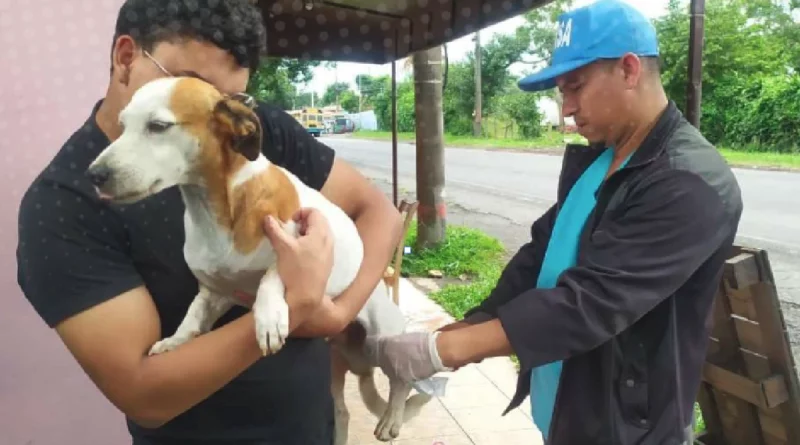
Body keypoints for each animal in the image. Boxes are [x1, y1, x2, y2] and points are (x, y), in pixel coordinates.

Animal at [86, 77, 432, 444]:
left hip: (384, 340)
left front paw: (268, 319)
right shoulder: (216, 291)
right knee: (344, 411)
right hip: (340, 363)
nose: (94, 174)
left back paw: (392, 417)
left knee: (402, 381)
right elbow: (193, 317)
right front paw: (175, 341)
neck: (214, 208)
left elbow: (273, 274)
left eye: (158, 126)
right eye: (122, 125)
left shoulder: (295, 242)